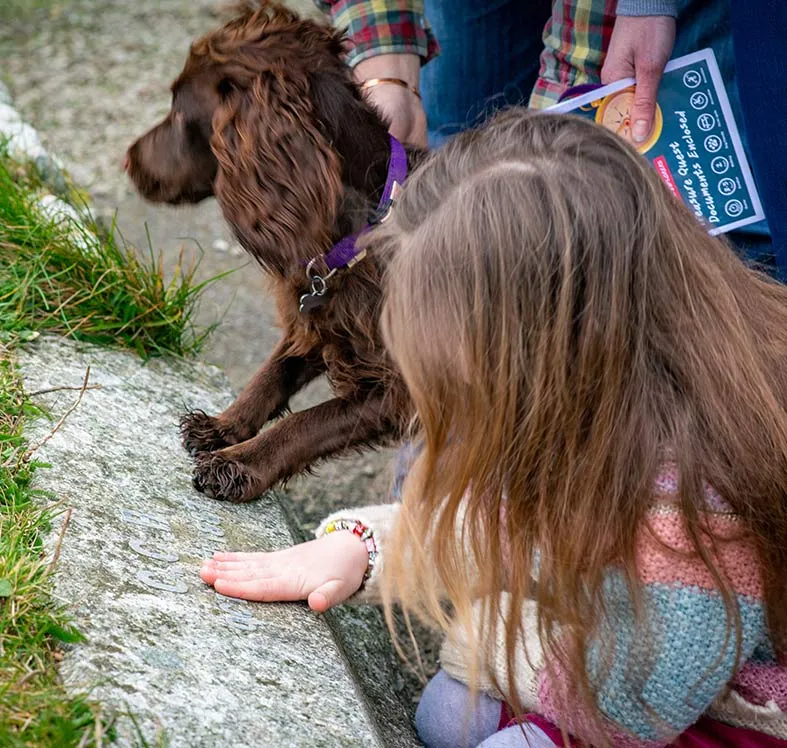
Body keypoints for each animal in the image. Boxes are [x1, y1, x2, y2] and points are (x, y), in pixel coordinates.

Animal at [127, 2, 424, 506]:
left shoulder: (398, 387)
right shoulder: (318, 312)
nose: (128, 160)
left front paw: (238, 463)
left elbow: (308, 422)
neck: (361, 228)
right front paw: (223, 426)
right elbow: (272, 373)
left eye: (180, 112)